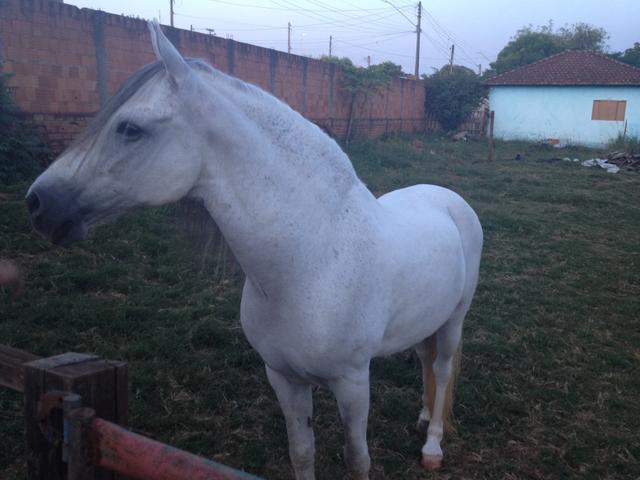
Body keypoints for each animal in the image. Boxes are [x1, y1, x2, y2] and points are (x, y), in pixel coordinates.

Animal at [26, 21, 482, 479]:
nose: (38, 203)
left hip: (455, 319)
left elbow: (357, 459)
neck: (312, 264)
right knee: (424, 360)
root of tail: (448, 198)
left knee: (442, 370)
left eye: (130, 128)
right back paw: (422, 415)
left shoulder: (353, 382)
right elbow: (302, 452)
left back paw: (432, 444)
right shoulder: (282, 377)